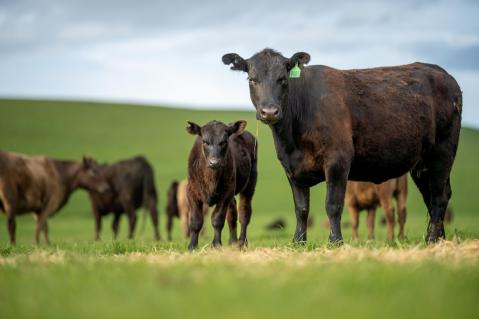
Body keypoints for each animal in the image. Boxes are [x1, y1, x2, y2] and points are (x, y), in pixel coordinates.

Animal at [186, 120, 258, 250]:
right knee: (232, 213)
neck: (211, 180)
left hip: (250, 184)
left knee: (244, 213)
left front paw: (216, 244)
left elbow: (217, 219)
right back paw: (232, 242)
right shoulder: (191, 191)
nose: (214, 162)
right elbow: (195, 221)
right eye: (205, 141)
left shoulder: (226, 193)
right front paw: (192, 246)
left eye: (224, 142)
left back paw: (242, 242)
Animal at [223, 48, 464, 245]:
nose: (269, 111)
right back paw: (438, 238)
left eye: (283, 79)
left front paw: (335, 242)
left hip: (443, 152)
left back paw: (433, 238)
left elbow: (333, 204)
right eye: (252, 79)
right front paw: (298, 242)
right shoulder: (291, 168)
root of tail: (443, 74)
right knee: (433, 196)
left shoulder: (337, 160)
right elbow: (301, 208)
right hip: (422, 164)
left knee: (439, 196)